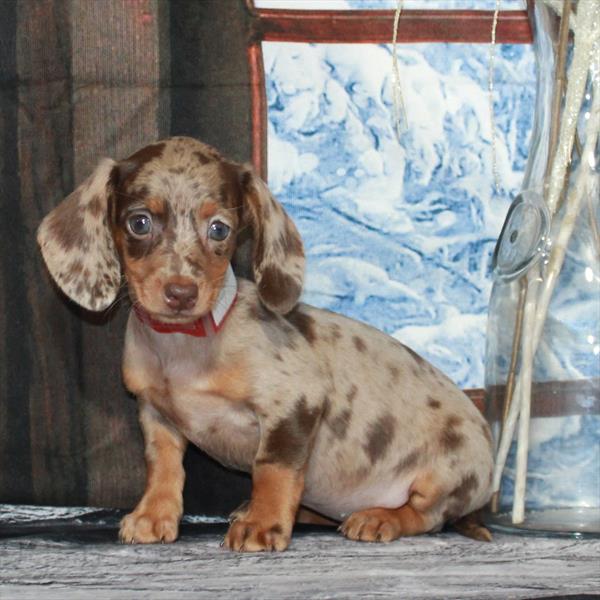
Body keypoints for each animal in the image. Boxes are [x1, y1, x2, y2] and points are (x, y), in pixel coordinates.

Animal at [37, 137, 492, 552]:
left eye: (219, 229)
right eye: (140, 223)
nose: (181, 293)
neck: (186, 347)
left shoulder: (295, 405)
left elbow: (273, 469)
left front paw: (264, 523)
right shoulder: (155, 415)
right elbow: (163, 467)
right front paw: (154, 514)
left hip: (446, 475)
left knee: (428, 516)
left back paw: (381, 518)